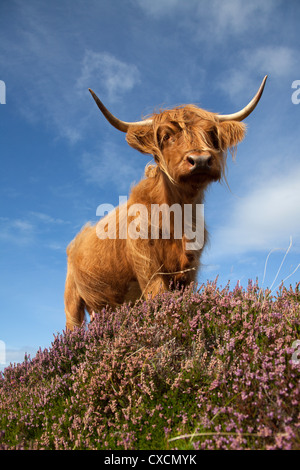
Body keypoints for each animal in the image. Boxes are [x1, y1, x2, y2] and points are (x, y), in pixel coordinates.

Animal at [65, 75, 268, 328]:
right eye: (166, 136)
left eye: (212, 134)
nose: (200, 160)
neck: (178, 216)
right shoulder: (147, 266)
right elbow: (159, 301)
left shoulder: (190, 270)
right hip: (72, 300)